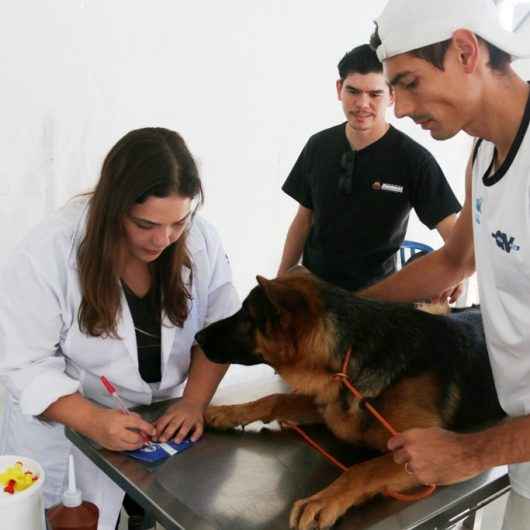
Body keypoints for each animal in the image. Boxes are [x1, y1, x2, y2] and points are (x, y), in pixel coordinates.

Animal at [194, 270, 504, 524]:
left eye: (247, 317)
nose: (197, 336)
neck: (351, 352)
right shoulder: (330, 404)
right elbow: (274, 399)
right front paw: (228, 412)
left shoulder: (427, 454)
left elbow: (363, 469)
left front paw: (322, 500)